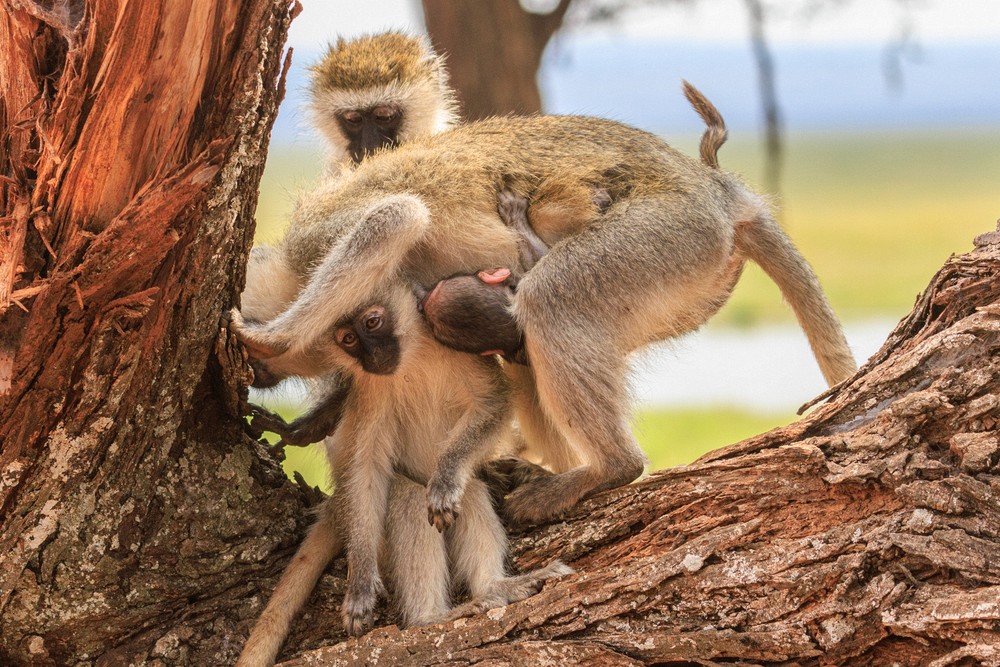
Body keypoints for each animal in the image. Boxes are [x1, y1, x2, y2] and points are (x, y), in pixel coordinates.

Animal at [231, 82, 857, 533]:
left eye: (361, 330)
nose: (255, 377)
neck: (292, 274)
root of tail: (721, 197)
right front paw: (313, 419)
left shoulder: (320, 242)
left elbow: (395, 218)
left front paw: (267, 336)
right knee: (530, 352)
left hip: (670, 236)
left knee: (552, 302)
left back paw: (609, 467)